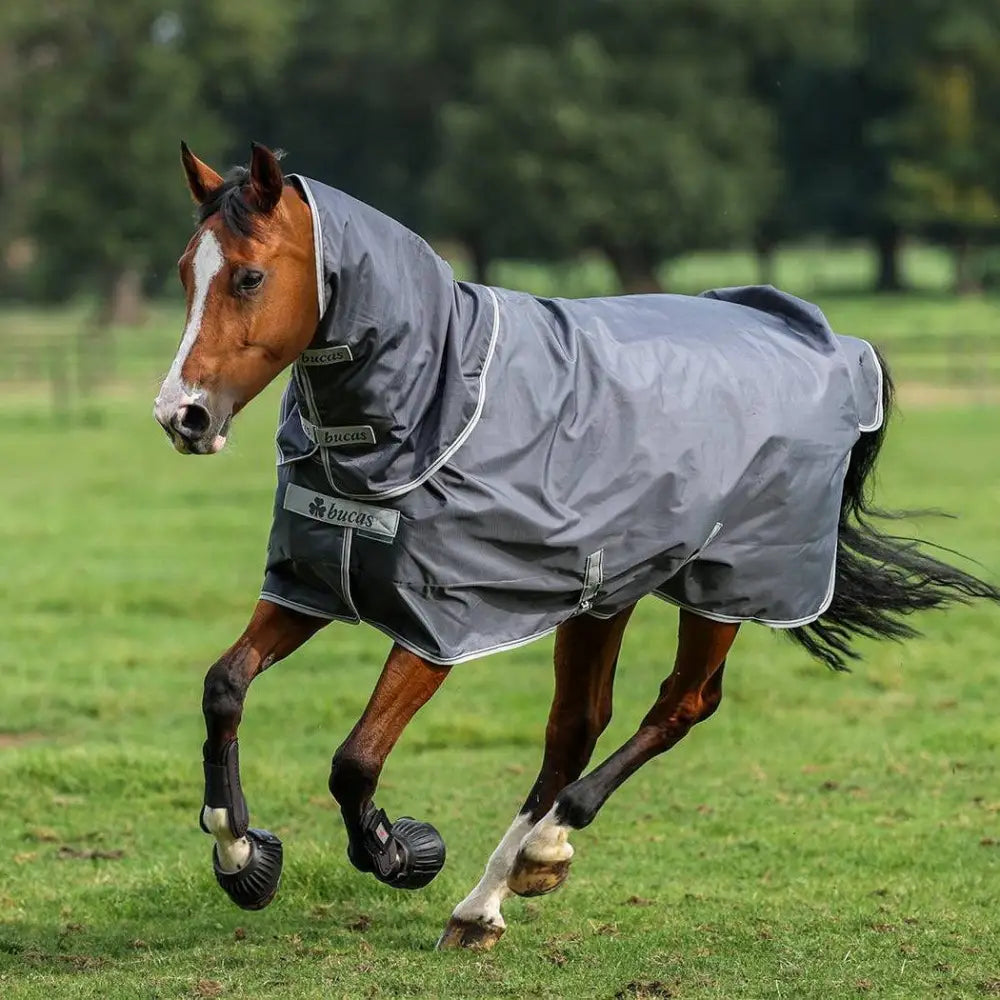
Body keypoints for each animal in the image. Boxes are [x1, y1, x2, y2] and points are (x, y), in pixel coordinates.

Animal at [153, 142, 1000, 950]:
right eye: (186, 273)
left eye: (250, 277)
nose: (181, 416)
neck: (431, 405)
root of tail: (833, 342)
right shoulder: (315, 583)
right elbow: (224, 685)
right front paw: (241, 855)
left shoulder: (439, 625)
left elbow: (354, 761)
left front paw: (400, 852)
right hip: (605, 593)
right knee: (576, 728)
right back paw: (489, 899)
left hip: (724, 583)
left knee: (681, 704)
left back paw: (540, 849)